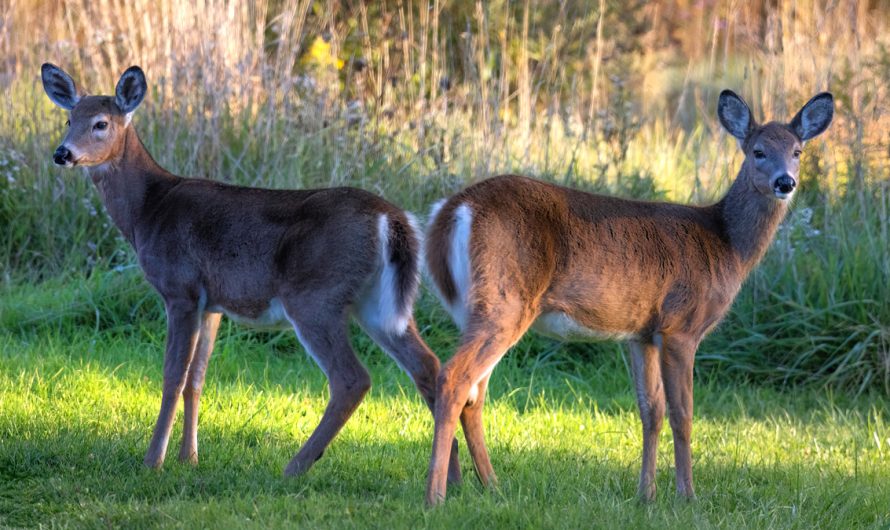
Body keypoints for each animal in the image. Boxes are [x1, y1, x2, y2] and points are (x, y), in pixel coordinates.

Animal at [40, 63, 464, 478]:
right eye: (69, 119)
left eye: (101, 123)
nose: (63, 153)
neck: (149, 210)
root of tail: (392, 219)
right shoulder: (212, 303)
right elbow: (197, 378)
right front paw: (189, 457)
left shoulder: (180, 289)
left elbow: (173, 375)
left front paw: (153, 460)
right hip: (378, 302)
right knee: (427, 364)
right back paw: (456, 475)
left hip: (315, 295)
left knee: (352, 378)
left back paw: (295, 466)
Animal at [424, 88, 832, 502]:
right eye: (758, 151)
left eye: (797, 151)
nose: (785, 182)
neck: (725, 243)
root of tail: (452, 210)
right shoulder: (680, 326)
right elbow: (683, 414)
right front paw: (686, 495)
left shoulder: (642, 333)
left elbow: (651, 410)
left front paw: (646, 494)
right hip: (505, 300)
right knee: (453, 378)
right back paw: (436, 495)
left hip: (477, 308)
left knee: (474, 394)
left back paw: (491, 485)